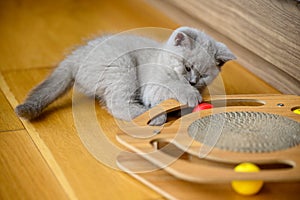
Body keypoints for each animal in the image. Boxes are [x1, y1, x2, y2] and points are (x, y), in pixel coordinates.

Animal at [15, 26, 237, 125]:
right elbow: (172, 87)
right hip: (123, 66)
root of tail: (76, 56)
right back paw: (153, 117)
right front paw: (190, 95)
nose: (192, 81)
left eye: (204, 75)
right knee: (117, 104)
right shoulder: (153, 87)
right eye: (187, 67)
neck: (162, 59)